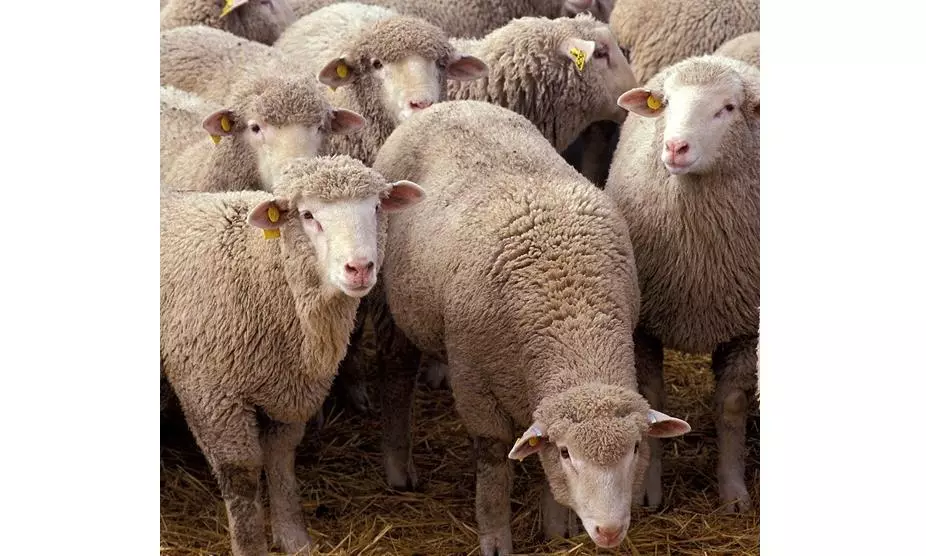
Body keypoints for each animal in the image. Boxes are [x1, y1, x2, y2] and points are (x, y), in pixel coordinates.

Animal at [161, 155, 425, 556]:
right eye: (307, 215)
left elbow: (281, 459)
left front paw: (293, 537)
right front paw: (251, 546)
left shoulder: (289, 386)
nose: (359, 268)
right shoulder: (211, 393)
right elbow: (241, 475)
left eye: (377, 208)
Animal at [370, 100, 691, 555]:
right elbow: (492, 464)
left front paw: (557, 527)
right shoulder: (475, 385)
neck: (573, 320)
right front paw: (495, 537)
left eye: (633, 448)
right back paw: (399, 467)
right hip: (390, 305)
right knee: (396, 377)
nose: (609, 531)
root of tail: (451, 103)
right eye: (568, 453)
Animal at [603, 55, 759, 514]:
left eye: (728, 108)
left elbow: (731, 406)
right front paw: (646, 492)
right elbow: (651, 401)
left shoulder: (747, 327)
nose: (675, 148)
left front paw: (734, 492)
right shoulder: (643, 326)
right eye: (667, 103)